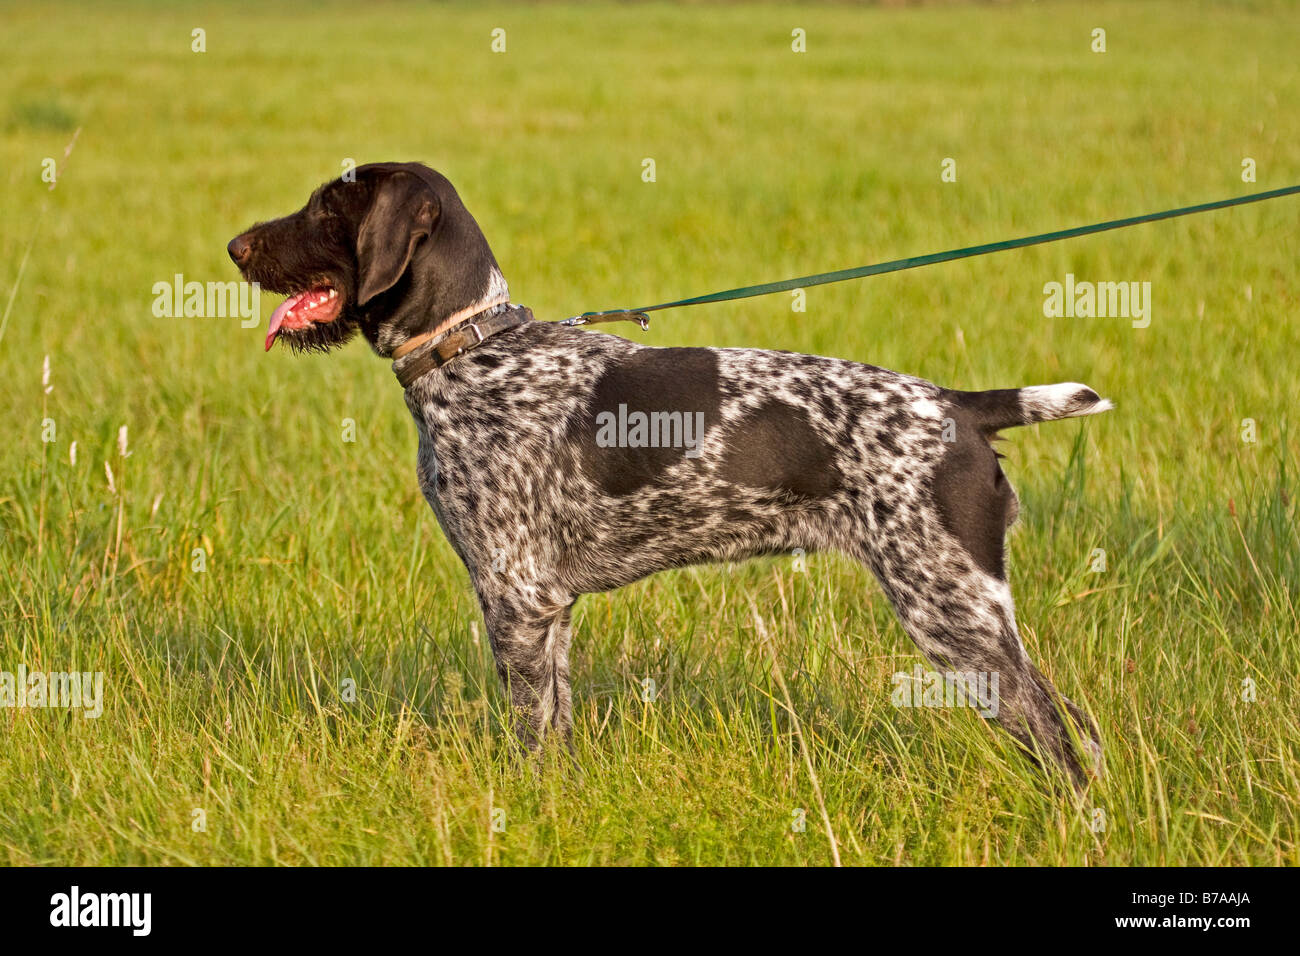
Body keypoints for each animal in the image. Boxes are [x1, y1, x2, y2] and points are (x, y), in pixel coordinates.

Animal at [231, 162, 1107, 785]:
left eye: (326, 208)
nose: (235, 246)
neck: (472, 350)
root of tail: (960, 406)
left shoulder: (515, 598)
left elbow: (528, 735)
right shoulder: (549, 610)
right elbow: (556, 728)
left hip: (950, 610)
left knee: (1060, 733)